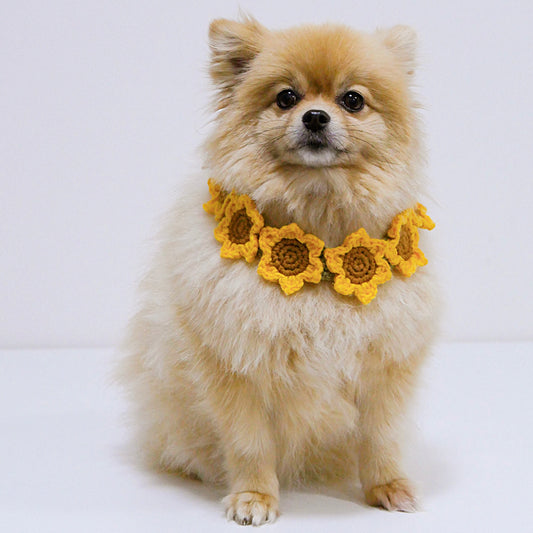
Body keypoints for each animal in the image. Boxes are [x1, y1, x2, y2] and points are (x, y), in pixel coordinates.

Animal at [118, 14, 438, 524]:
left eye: (353, 100)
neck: (319, 231)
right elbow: (250, 445)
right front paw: (254, 497)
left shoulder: (385, 368)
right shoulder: (236, 370)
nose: (315, 117)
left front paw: (387, 486)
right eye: (287, 97)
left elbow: (381, 438)